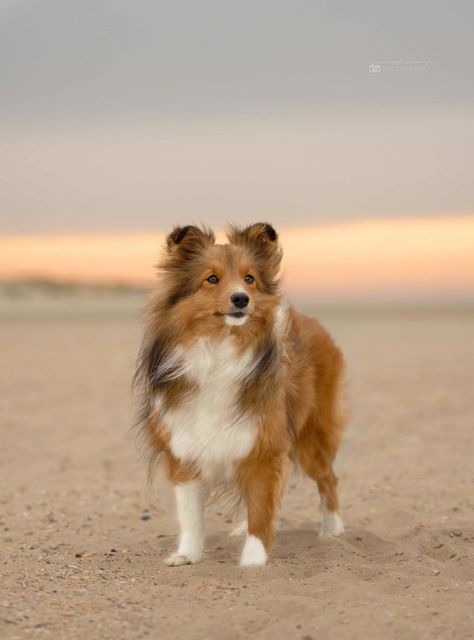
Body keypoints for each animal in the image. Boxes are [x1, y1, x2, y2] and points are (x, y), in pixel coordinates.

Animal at [133, 224, 344, 564]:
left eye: (249, 278)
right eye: (212, 278)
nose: (242, 299)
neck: (221, 350)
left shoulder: (265, 446)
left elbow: (261, 508)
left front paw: (253, 562)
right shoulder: (185, 447)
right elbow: (191, 515)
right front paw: (187, 555)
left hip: (311, 437)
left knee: (328, 479)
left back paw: (332, 531)